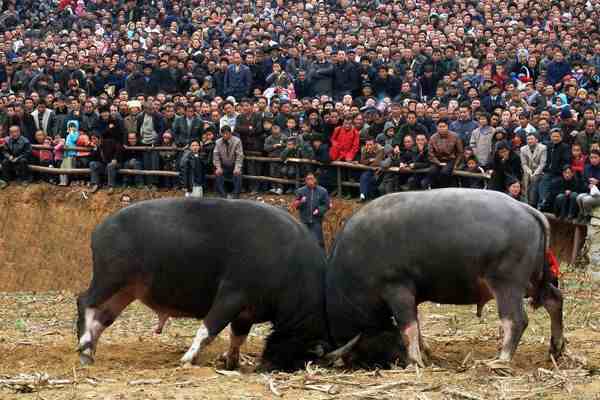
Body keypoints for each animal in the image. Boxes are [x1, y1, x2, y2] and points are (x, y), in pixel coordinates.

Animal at [75, 198, 356, 370]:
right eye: (305, 352)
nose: (268, 365)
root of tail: (101, 228)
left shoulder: (246, 313)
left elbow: (237, 338)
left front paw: (232, 362)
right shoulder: (232, 296)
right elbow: (208, 330)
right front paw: (188, 358)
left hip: (126, 290)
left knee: (103, 317)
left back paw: (89, 351)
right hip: (110, 279)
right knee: (85, 302)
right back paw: (84, 344)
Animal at [326, 189, 564, 368]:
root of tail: (529, 210)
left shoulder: (397, 289)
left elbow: (408, 326)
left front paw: (415, 361)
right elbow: (417, 325)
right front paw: (425, 353)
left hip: (507, 284)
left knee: (515, 320)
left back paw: (501, 359)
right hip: (533, 281)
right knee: (554, 299)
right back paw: (556, 348)